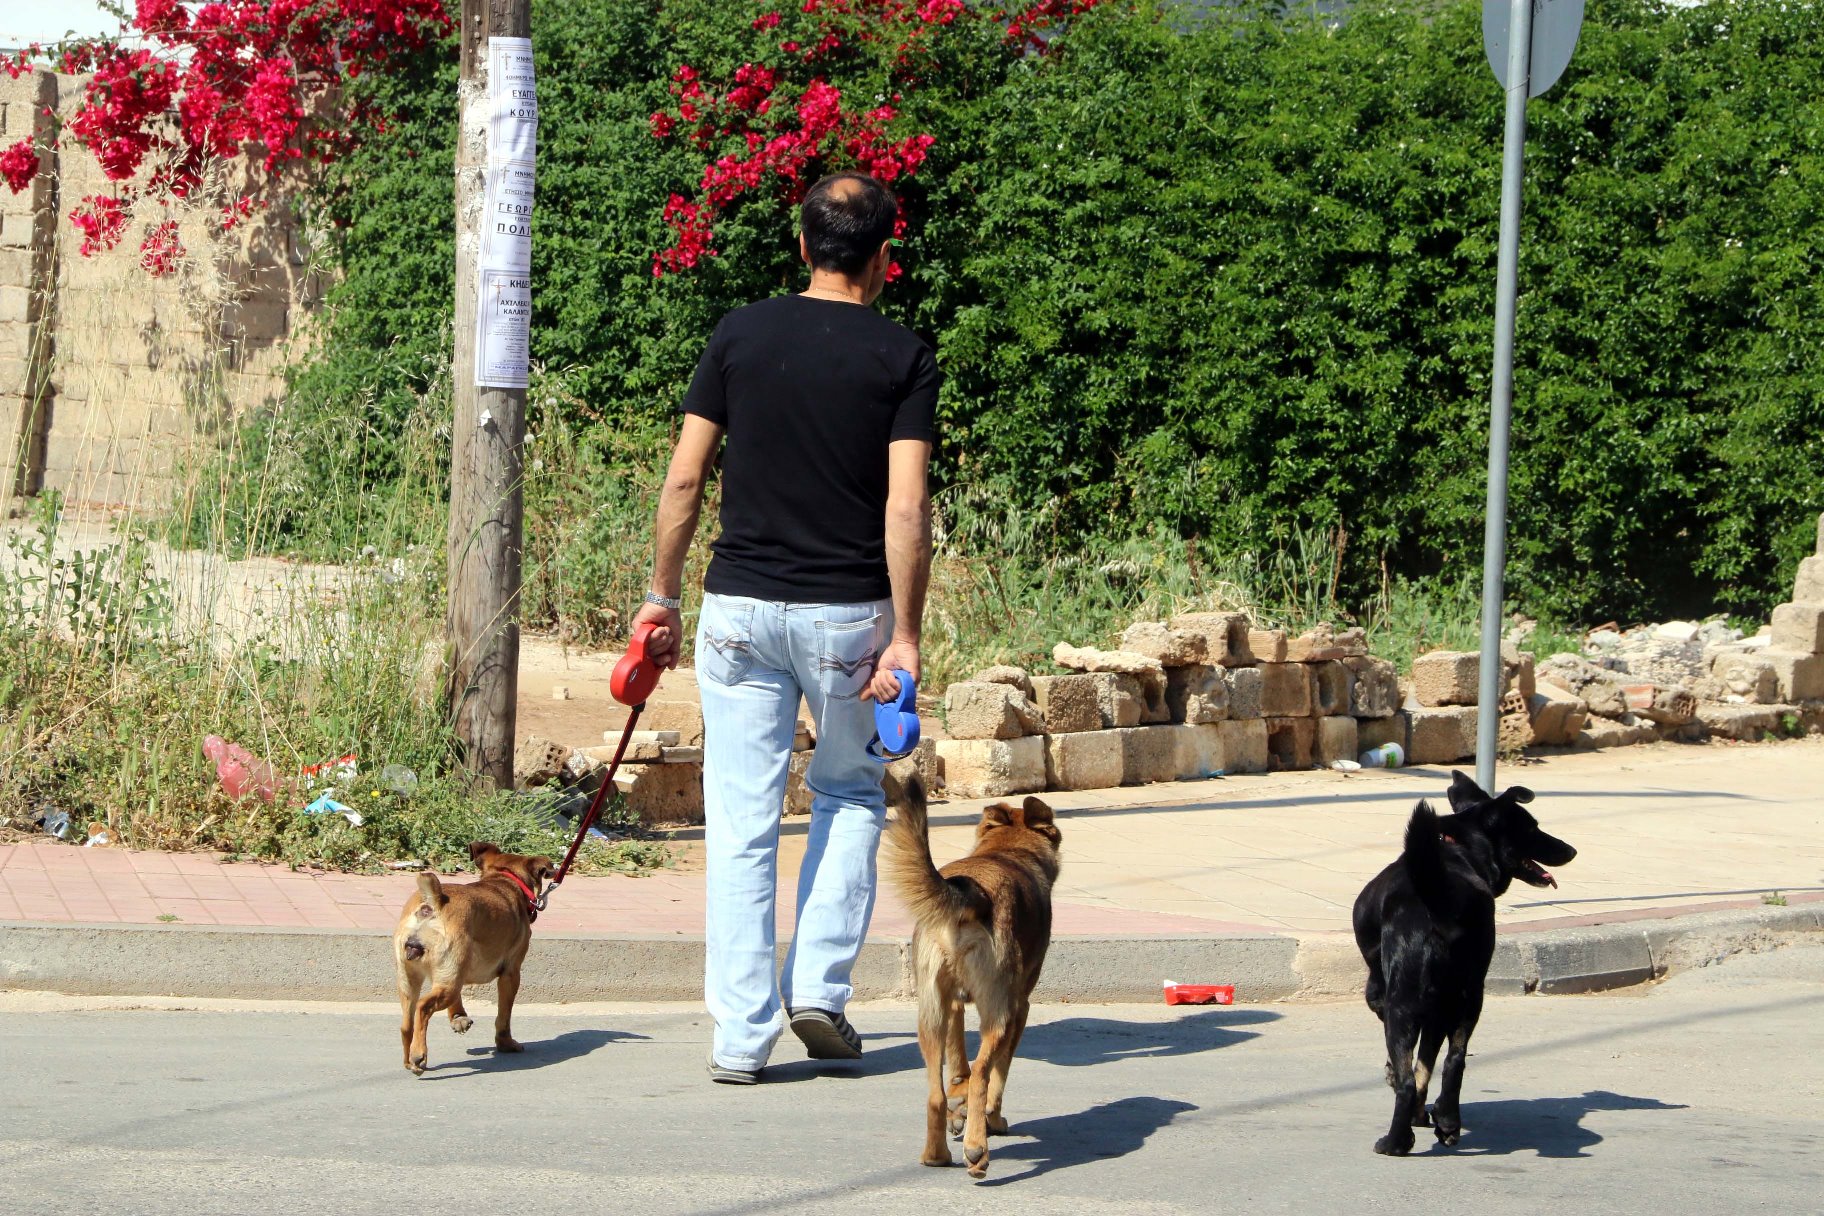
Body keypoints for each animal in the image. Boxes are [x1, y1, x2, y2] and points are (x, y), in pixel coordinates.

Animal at [388, 845, 550, 1071]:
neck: (504, 879)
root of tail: (431, 904)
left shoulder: (456, 970)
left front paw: (458, 1017)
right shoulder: (511, 974)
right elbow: (504, 1016)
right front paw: (505, 1042)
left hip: (409, 980)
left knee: (406, 1024)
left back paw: (409, 1059)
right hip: (446, 983)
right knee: (423, 1007)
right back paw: (419, 1054)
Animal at [879, 780, 1065, 1181]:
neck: (1008, 851)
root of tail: (970, 892)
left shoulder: (954, 1004)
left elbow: (958, 1068)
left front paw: (959, 1107)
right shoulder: (1020, 1007)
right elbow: (998, 1072)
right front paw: (992, 1120)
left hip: (930, 1017)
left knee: (935, 1092)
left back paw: (936, 1153)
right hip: (999, 1014)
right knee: (983, 1073)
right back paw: (977, 1149)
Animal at [1349, 776, 1575, 1159]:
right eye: (1532, 827)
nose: (1571, 850)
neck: (1458, 849)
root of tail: (1440, 901)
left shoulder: (1381, 998)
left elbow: (1411, 1066)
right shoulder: (1439, 1011)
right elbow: (1427, 1064)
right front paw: (1427, 1115)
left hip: (1403, 1004)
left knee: (1409, 1079)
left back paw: (1395, 1142)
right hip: (1468, 997)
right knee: (1455, 1061)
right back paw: (1447, 1121)